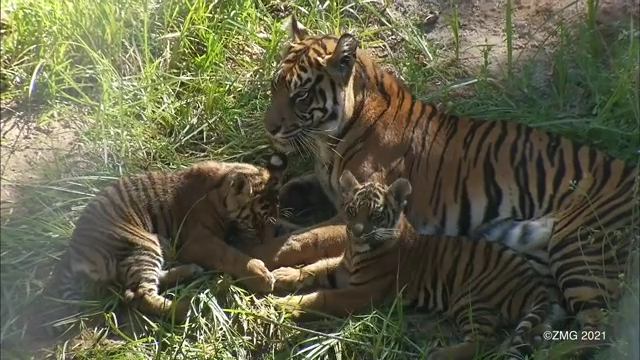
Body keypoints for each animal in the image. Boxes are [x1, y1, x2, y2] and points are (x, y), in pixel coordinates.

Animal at [268, 172, 556, 360]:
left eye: (375, 215)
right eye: (351, 211)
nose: (357, 232)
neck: (355, 252)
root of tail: (535, 282)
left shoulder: (360, 293)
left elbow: (322, 298)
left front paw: (285, 305)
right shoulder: (340, 268)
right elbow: (314, 268)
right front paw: (282, 275)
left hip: (471, 297)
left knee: (486, 341)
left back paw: (438, 354)